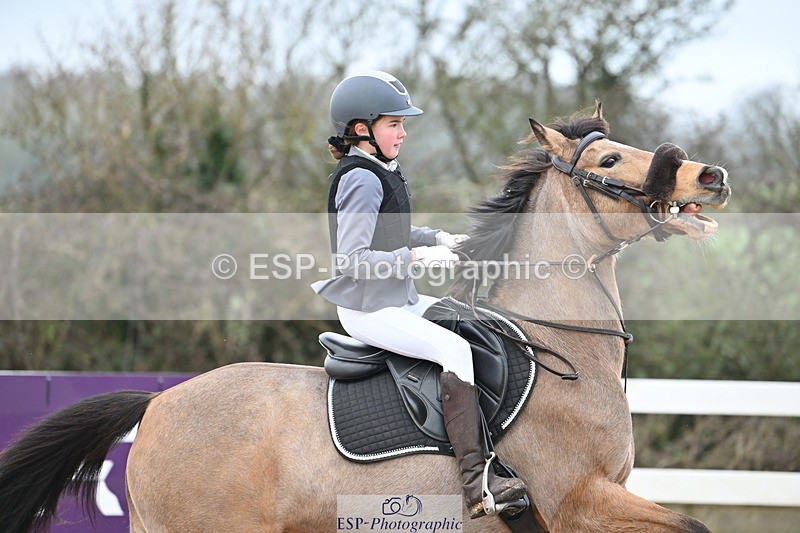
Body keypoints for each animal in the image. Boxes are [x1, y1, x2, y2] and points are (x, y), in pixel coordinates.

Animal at [0, 102, 731, 533]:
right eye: (609, 159)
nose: (710, 176)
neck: (562, 349)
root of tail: (157, 403)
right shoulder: (579, 500)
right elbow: (695, 526)